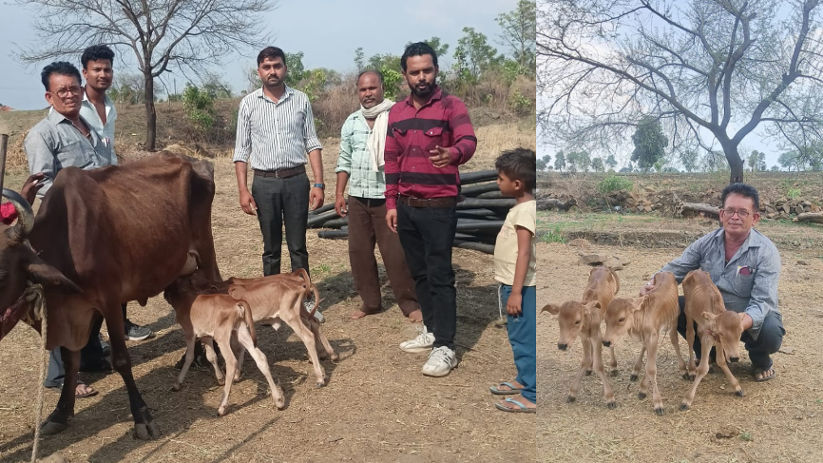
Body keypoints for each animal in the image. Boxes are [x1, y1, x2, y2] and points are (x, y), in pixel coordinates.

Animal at [0, 154, 222, 440]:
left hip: (205, 252)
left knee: (217, 288)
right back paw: (190, 358)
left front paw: (142, 416)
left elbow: (121, 360)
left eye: (2, 273)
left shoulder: (110, 300)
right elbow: (71, 362)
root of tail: (194, 161)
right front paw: (61, 412)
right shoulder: (75, 312)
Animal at [164, 274, 286, 418]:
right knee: (260, 357)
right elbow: (211, 356)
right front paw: (220, 378)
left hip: (222, 336)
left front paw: (178, 383)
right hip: (240, 331)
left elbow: (190, 356)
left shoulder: (190, 334)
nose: (164, 294)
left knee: (231, 361)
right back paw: (278, 400)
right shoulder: (206, 335)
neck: (185, 296)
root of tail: (236, 302)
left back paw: (222, 407)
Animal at [600, 270, 688, 416]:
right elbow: (648, 360)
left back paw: (684, 370)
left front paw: (657, 403)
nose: (606, 342)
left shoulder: (653, 336)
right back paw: (636, 371)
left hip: (674, 319)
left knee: (674, 339)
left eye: (621, 319)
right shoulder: (648, 336)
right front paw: (642, 386)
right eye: (605, 319)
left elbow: (651, 368)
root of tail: (666, 272)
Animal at [676, 270, 748, 412]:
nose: (735, 358)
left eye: (740, 332)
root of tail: (694, 271)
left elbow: (721, 360)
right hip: (688, 312)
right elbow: (703, 368)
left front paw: (737, 387)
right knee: (690, 335)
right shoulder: (708, 339)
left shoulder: (718, 342)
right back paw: (691, 369)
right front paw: (687, 400)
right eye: (722, 333)